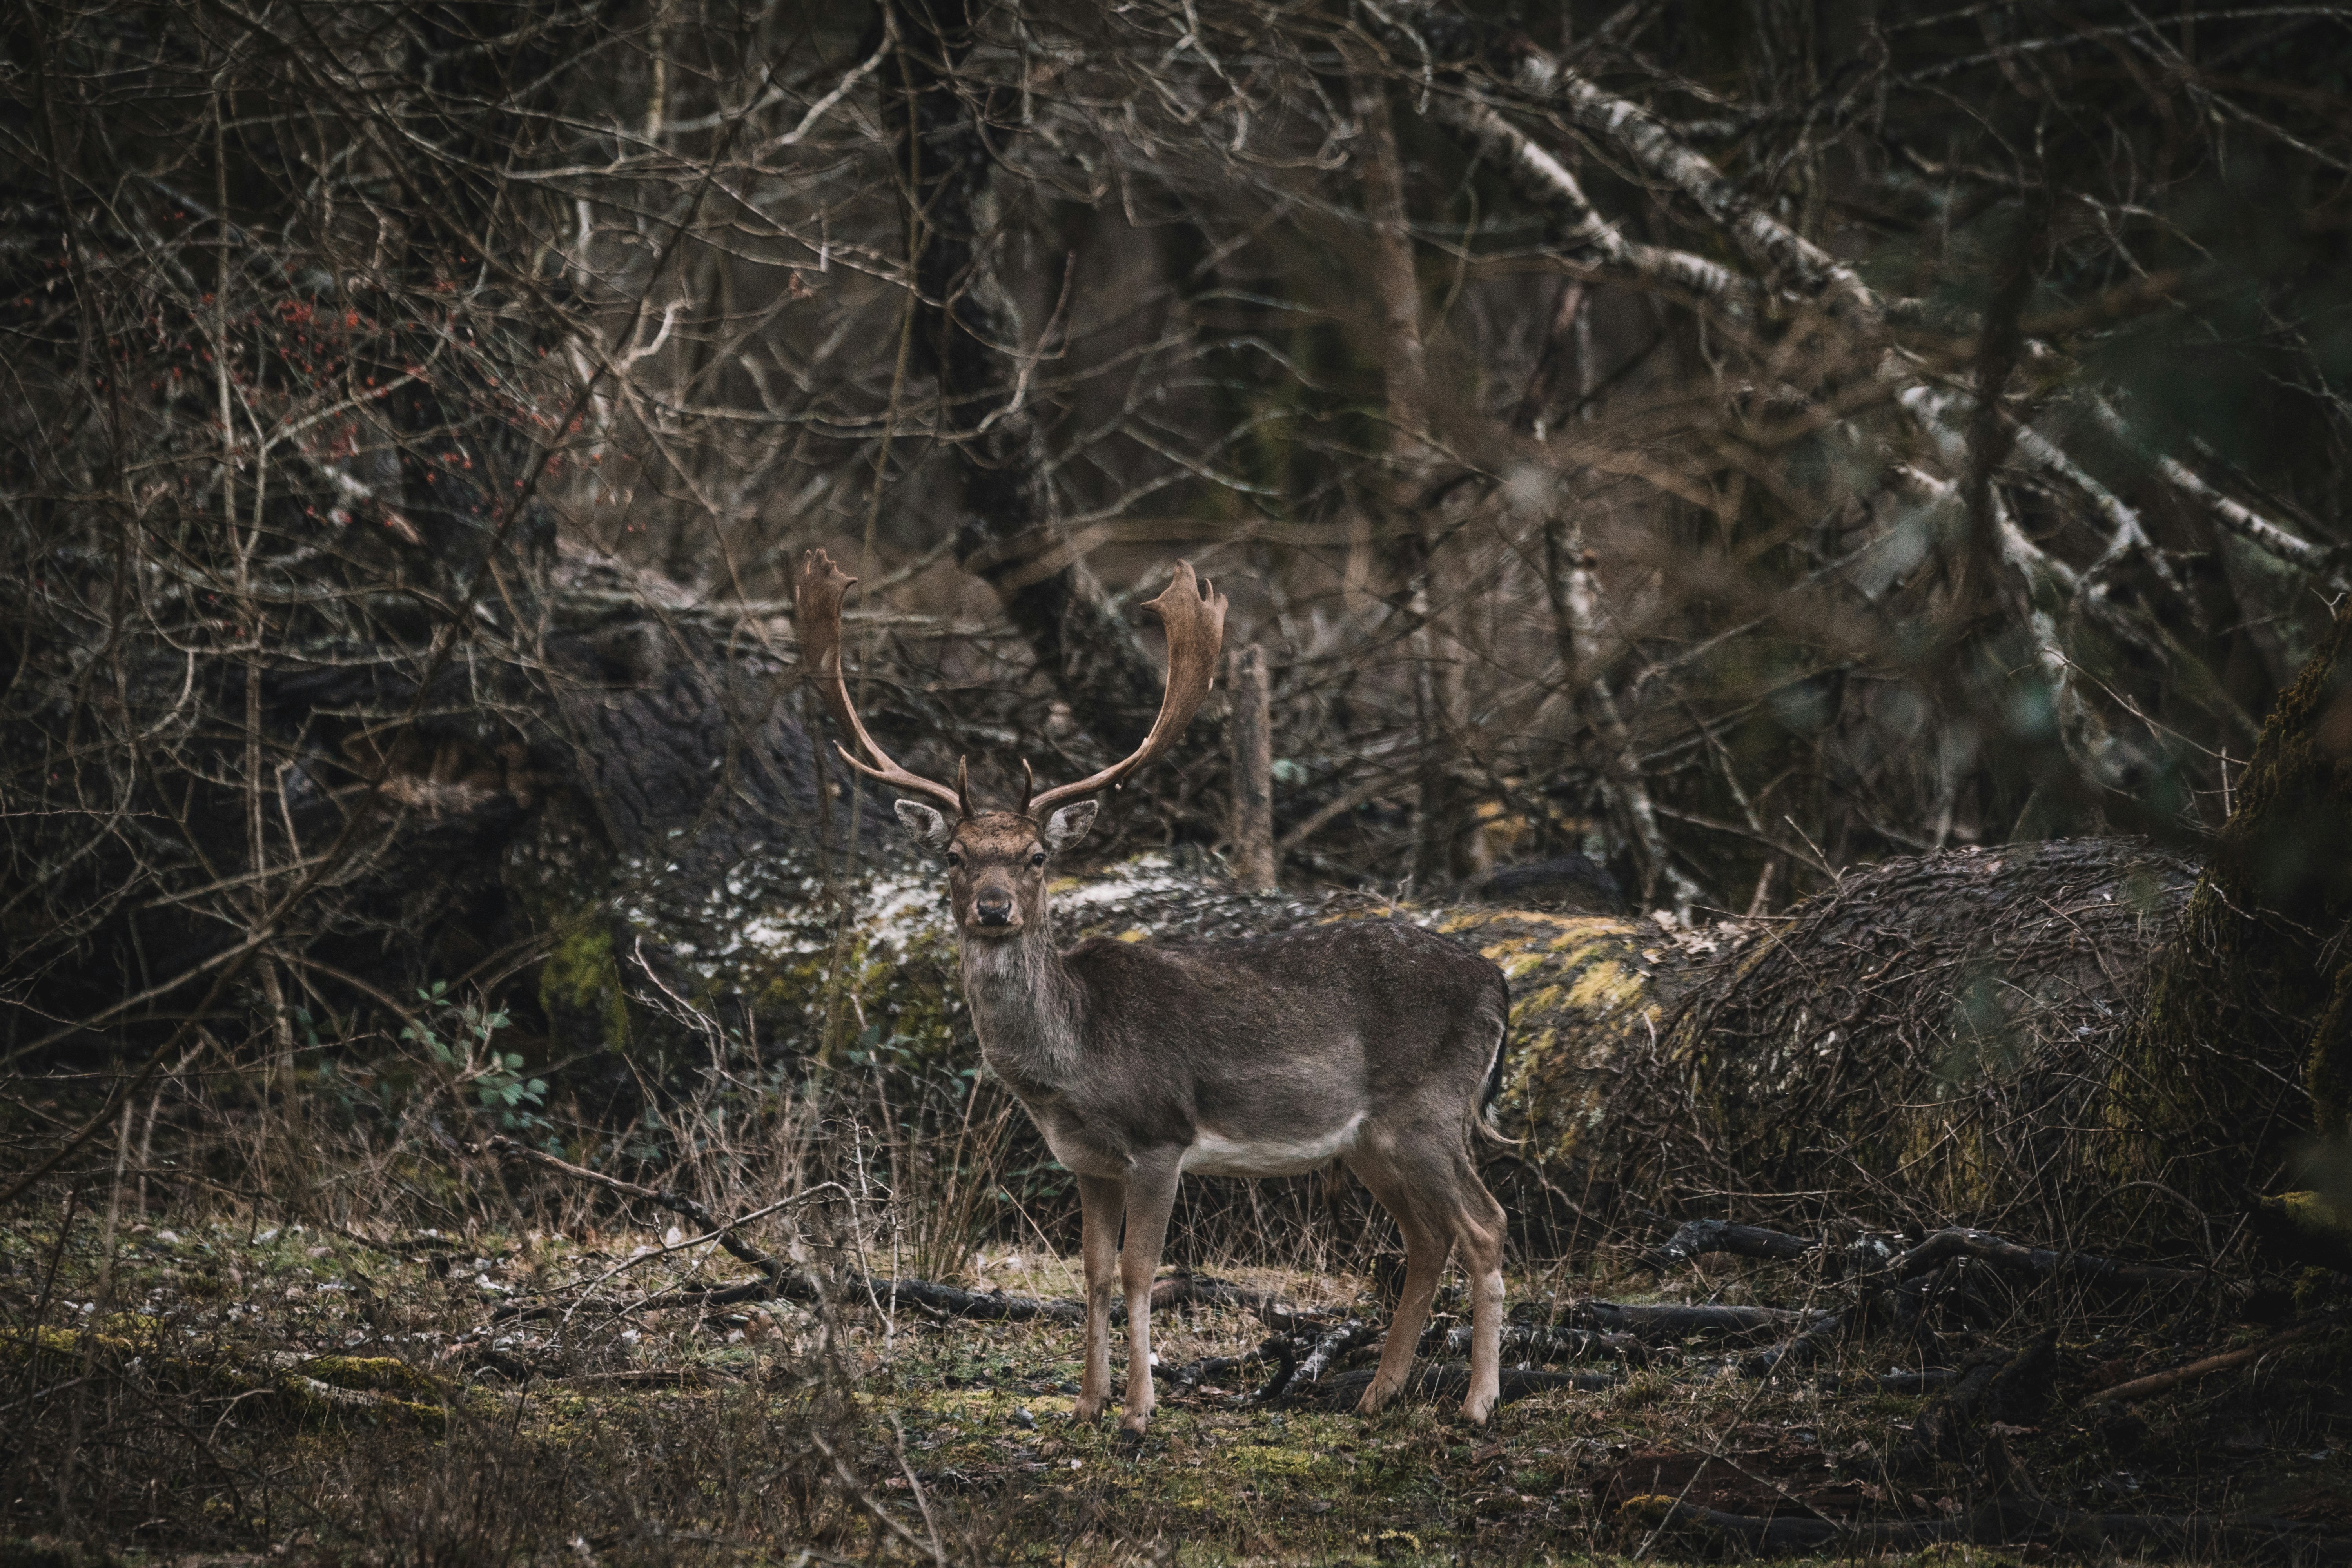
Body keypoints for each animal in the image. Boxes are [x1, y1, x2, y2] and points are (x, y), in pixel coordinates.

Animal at [800, 550, 1515, 1439]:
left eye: (1037, 857)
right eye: (956, 856)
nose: (993, 907)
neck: (1073, 1066)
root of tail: (1498, 981)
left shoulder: (1159, 1136)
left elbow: (1143, 1271)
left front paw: (1140, 1409)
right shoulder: (1086, 1160)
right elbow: (1095, 1272)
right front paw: (1086, 1401)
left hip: (1430, 1107)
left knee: (1485, 1225)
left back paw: (1479, 1401)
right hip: (1371, 1139)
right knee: (1427, 1238)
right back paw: (1380, 1393)